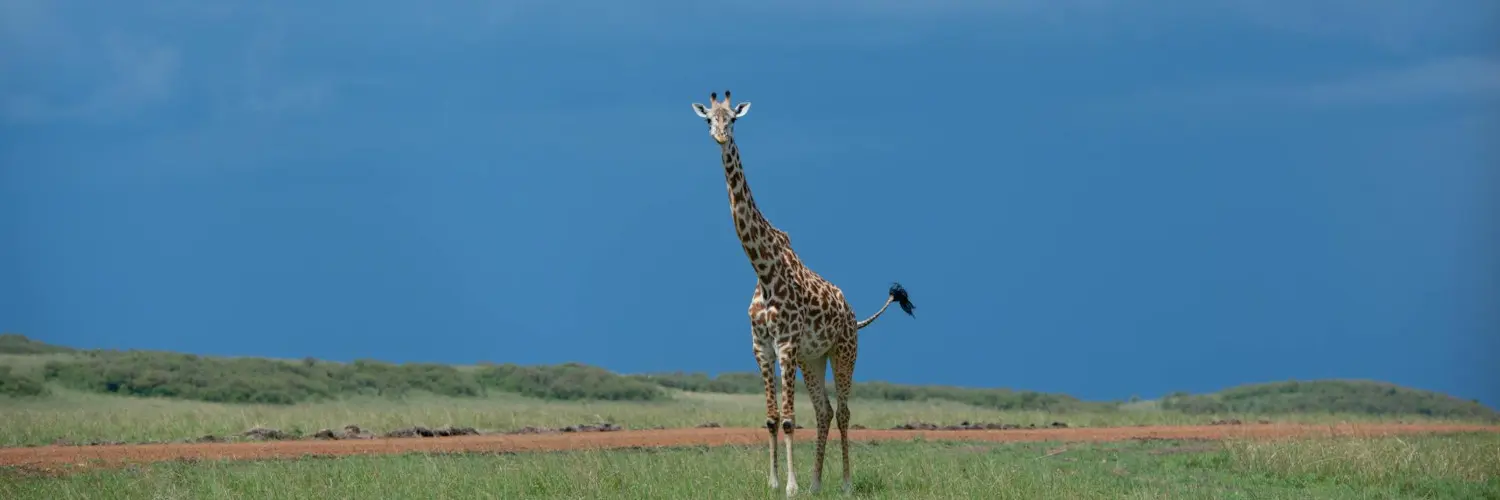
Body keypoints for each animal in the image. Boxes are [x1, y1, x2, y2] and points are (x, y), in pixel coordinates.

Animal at [690, 90, 912, 495]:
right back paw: (816, 484)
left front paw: (790, 487)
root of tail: (853, 314)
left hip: (844, 352)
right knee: (824, 410)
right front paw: (776, 483)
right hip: (813, 359)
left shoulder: (786, 346)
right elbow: (771, 417)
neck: (763, 269)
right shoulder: (762, 348)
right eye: (709, 119)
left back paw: (845, 484)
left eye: (733, 119)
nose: (720, 137)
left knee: (843, 411)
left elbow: (791, 419)